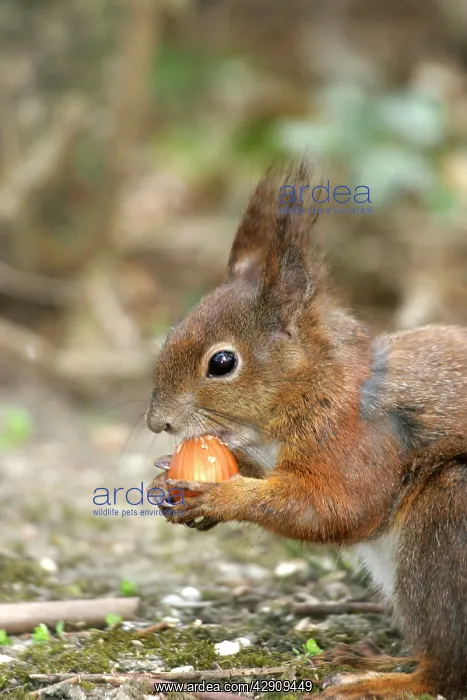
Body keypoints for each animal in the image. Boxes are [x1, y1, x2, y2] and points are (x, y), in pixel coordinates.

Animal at [146, 160, 467, 699]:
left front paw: (223, 497)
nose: (157, 422)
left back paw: (378, 679)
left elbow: (336, 507)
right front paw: (163, 481)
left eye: (222, 362)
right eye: (171, 334)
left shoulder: (357, 438)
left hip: (448, 526)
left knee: (445, 673)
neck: (317, 384)